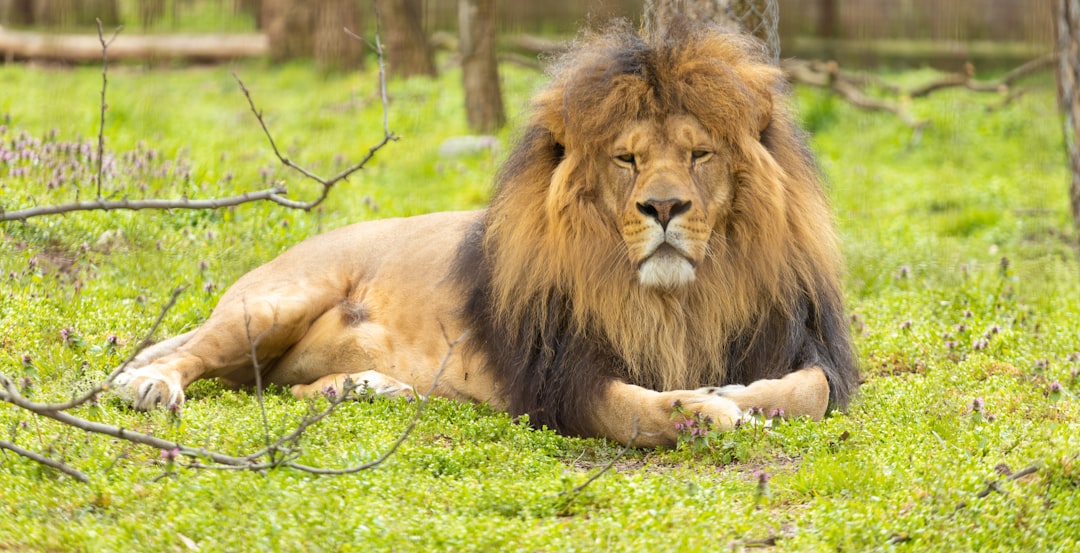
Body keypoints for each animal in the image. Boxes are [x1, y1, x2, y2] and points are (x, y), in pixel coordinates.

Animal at [115, 19, 858, 448]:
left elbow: (812, 391)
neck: (677, 299)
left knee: (280, 386)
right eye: (627, 159)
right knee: (187, 355)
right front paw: (712, 410)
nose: (665, 206)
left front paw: (738, 394)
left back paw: (363, 387)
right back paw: (148, 385)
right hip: (277, 300)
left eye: (700, 154)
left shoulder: (804, 342)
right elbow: (642, 410)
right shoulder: (555, 378)